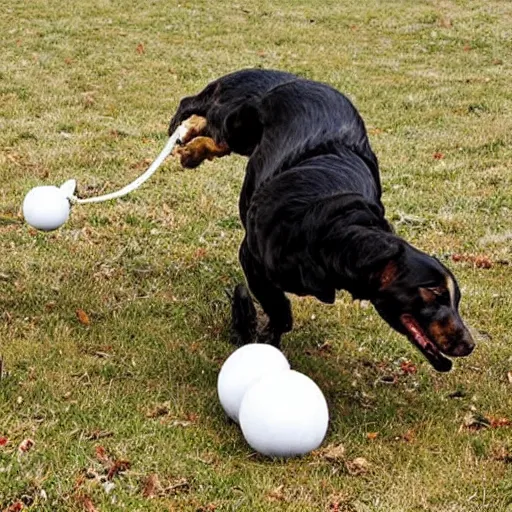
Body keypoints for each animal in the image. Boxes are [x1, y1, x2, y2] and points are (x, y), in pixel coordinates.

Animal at [169, 69, 476, 372]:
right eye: (433, 291)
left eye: (457, 299)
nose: (469, 344)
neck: (332, 231)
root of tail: (296, 80)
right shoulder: (251, 257)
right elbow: (280, 310)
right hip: (239, 122)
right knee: (200, 108)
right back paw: (186, 130)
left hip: (245, 138)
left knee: (218, 137)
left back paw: (193, 147)